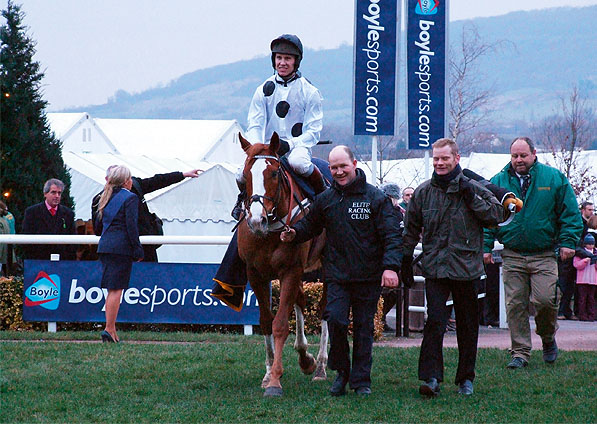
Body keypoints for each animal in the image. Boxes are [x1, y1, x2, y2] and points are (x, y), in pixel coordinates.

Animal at [237, 132, 328, 398]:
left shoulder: (290, 270)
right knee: (300, 299)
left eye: (275, 173)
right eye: (245, 175)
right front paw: (269, 373)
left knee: (325, 309)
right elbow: (266, 321)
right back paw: (305, 357)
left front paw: (276, 380)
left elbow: (279, 324)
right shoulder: (255, 273)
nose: (257, 220)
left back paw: (320, 366)